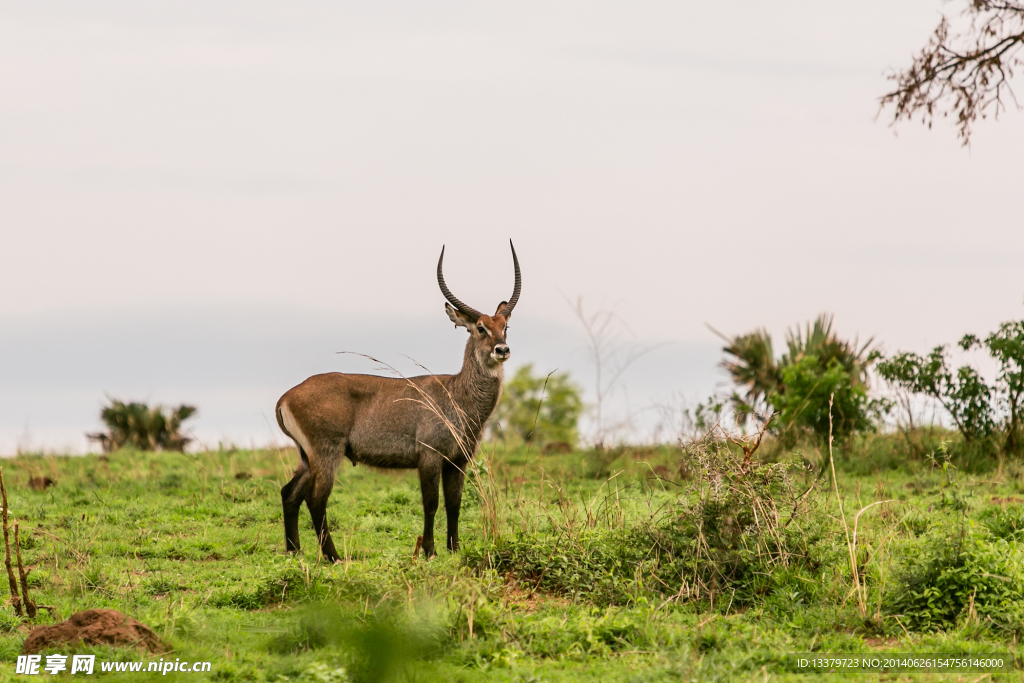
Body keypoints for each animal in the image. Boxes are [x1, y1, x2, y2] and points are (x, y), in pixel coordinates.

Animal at [274, 240, 520, 561]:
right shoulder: (429, 457)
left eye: (506, 326)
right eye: (480, 327)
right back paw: (333, 556)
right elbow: (431, 504)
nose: (502, 349)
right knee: (316, 499)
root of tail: (286, 396)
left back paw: (294, 551)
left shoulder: (458, 461)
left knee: (290, 493)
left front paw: (454, 549)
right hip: (326, 451)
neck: (457, 394)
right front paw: (429, 551)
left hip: (306, 455)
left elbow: (454, 505)